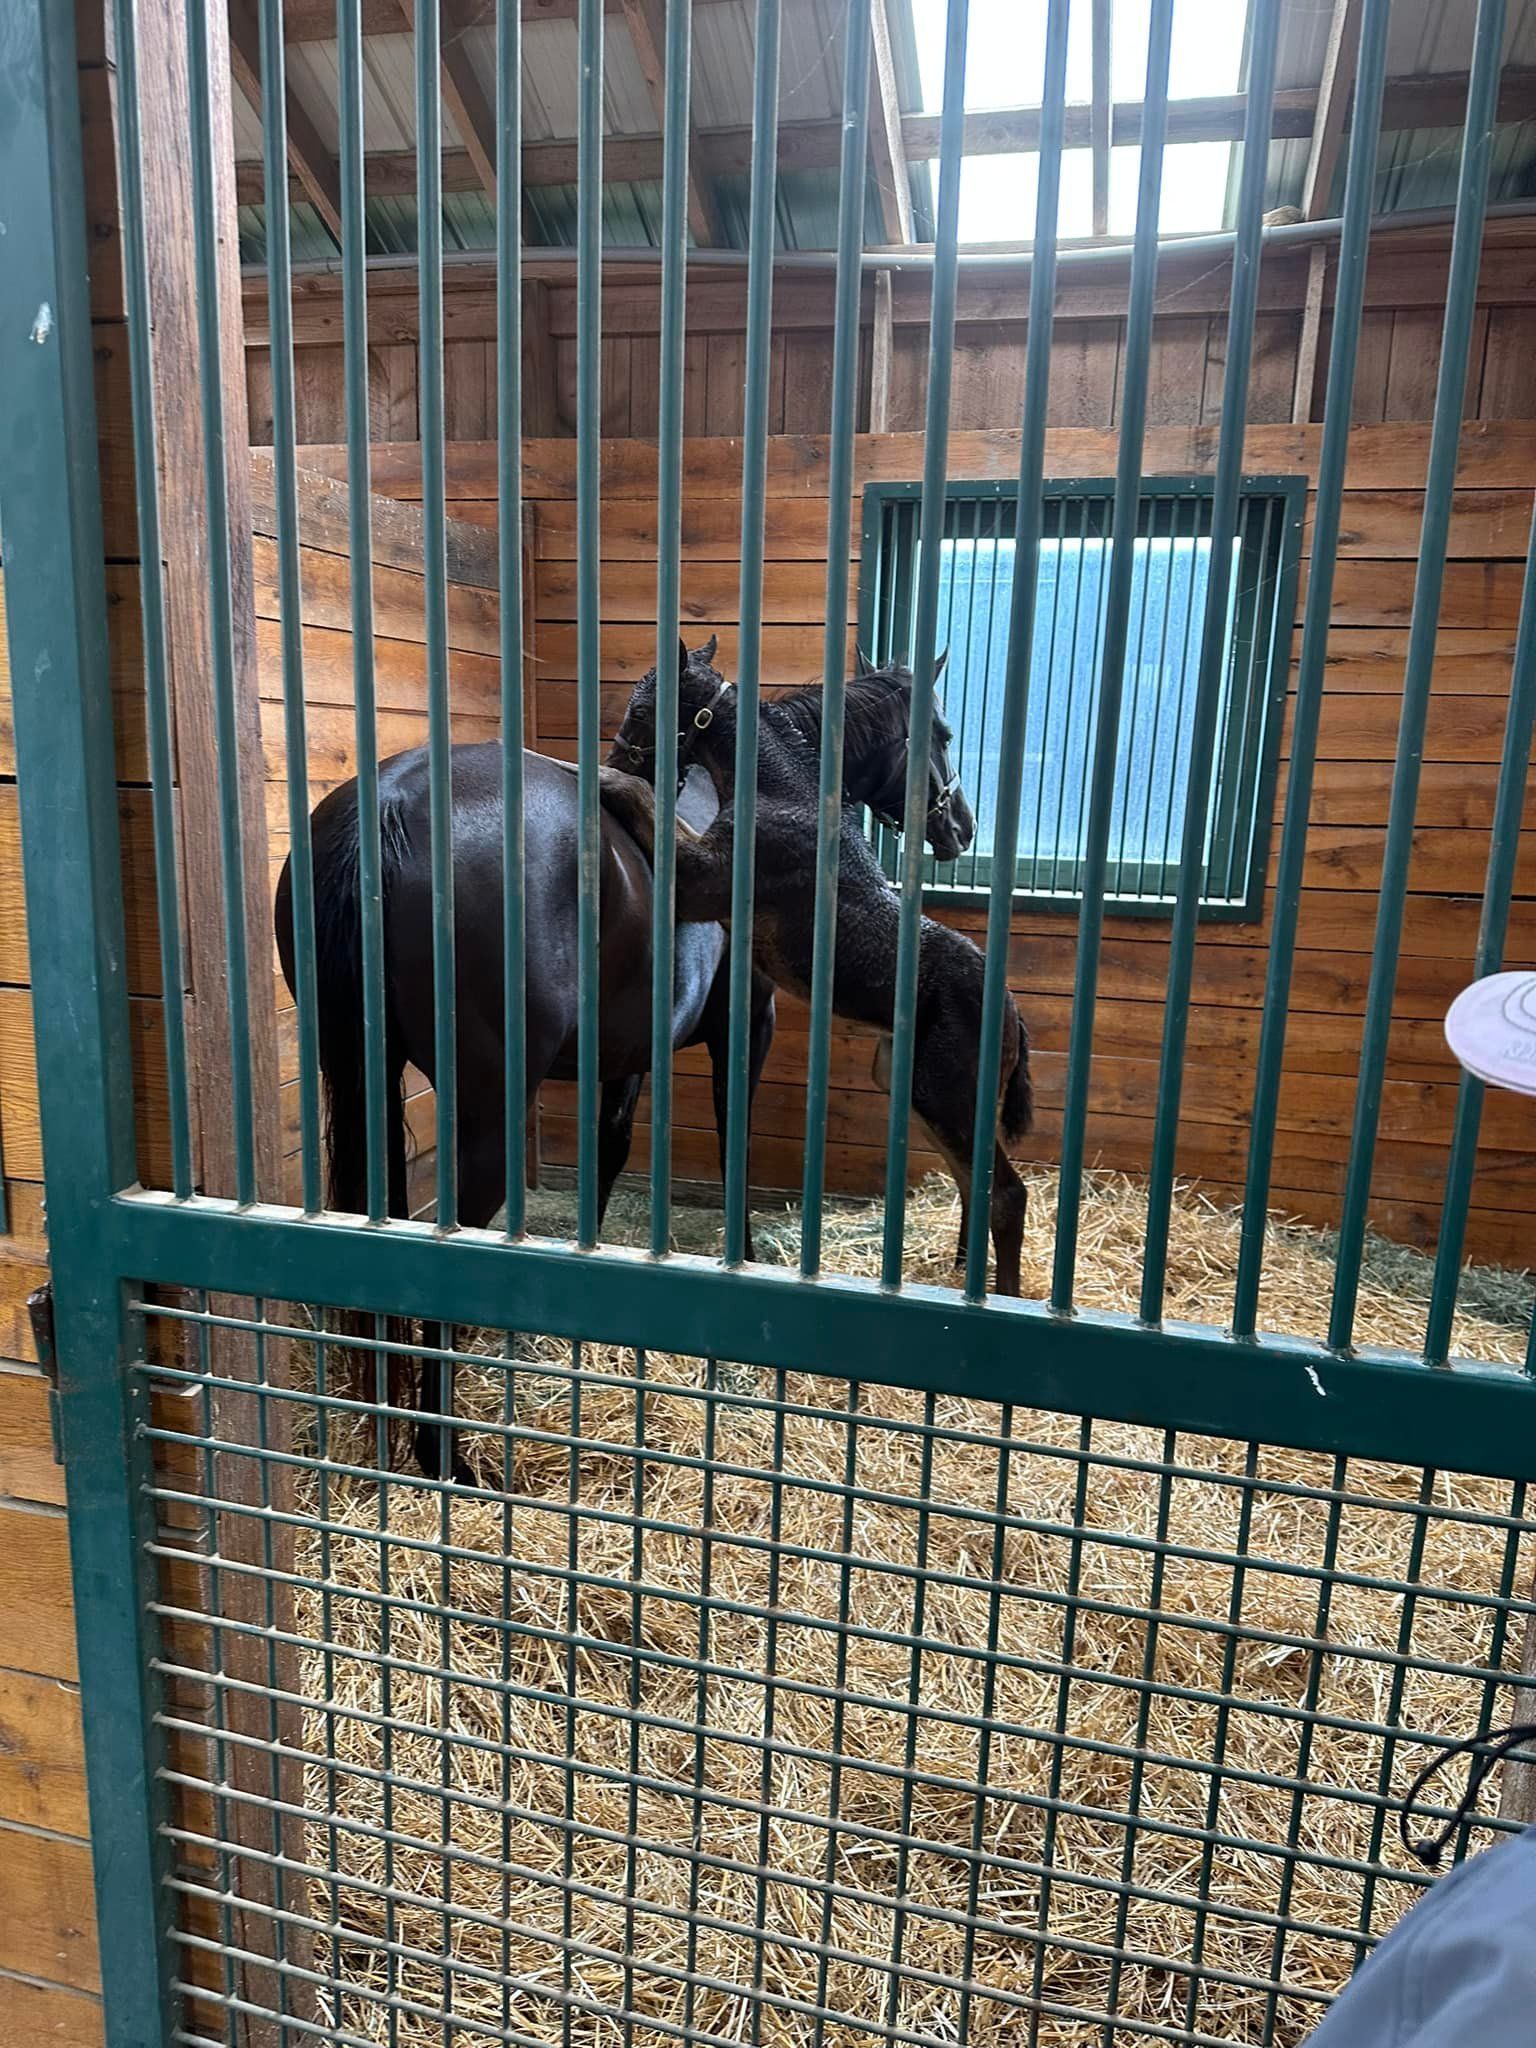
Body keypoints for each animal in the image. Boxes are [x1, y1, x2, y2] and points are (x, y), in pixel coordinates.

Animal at [275, 636, 973, 1478]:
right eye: (939, 732)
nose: (960, 827)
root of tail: (390, 801)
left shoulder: (629, 1051)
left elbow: (607, 1157)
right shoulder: (747, 1029)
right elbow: (732, 1144)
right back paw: (444, 1456)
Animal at [600, 657, 1034, 1295]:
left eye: (644, 711)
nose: (962, 828)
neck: (784, 792)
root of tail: (1014, 1016)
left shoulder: (702, 882)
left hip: (945, 1095)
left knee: (1006, 1194)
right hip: (912, 1086)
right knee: (974, 1183)